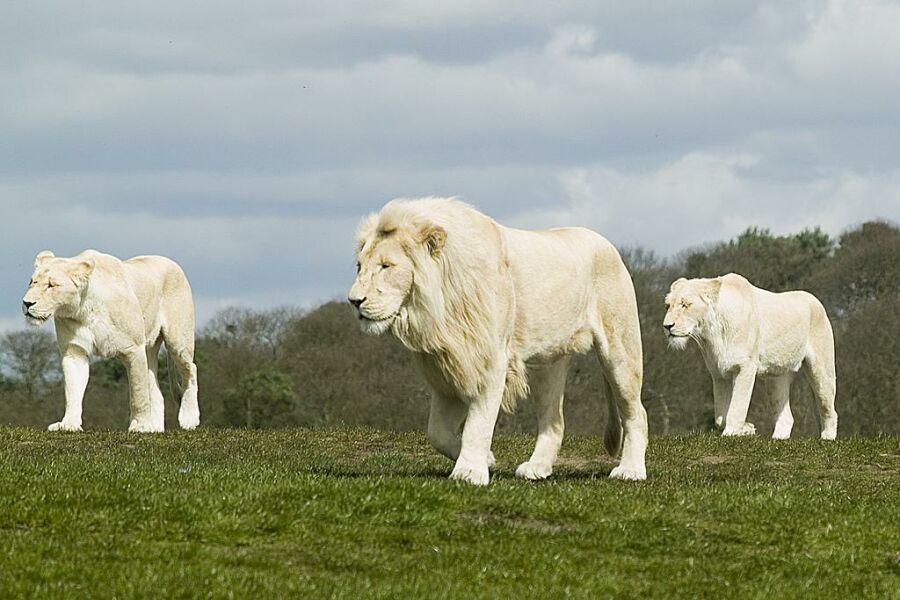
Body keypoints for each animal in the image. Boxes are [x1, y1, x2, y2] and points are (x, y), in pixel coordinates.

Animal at [22, 248, 200, 432]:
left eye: (51, 285)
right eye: (32, 282)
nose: (26, 303)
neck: (84, 309)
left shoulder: (134, 349)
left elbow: (138, 392)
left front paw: (140, 425)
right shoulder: (74, 351)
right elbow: (72, 391)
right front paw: (68, 424)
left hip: (177, 340)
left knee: (190, 369)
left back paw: (188, 418)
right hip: (150, 348)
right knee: (156, 389)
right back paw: (155, 428)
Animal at [348, 199, 652, 486]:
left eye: (386, 266)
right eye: (360, 266)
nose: (354, 301)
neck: (436, 309)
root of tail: (608, 246)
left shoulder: (489, 360)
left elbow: (478, 423)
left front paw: (469, 472)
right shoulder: (451, 366)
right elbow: (437, 432)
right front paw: (487, 459)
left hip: (620, 349)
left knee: (636, 412)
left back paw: (631, 470)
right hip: (547, 362)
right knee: (554, 421)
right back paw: (537, 468)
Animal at [660, 274, 836, 438]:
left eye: (685, 304)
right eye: (668, 306)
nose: (667, 326)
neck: (712, 333)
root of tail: (816, 301)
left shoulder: (745, 367)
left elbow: (737, 407)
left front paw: (731, 433)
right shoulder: (718, 373)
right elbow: (720, 417)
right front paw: (747, 429)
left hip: (821, 369)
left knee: (829, 408)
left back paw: (827, 438)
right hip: (776, 378)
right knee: (786, 417)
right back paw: (777, 440)